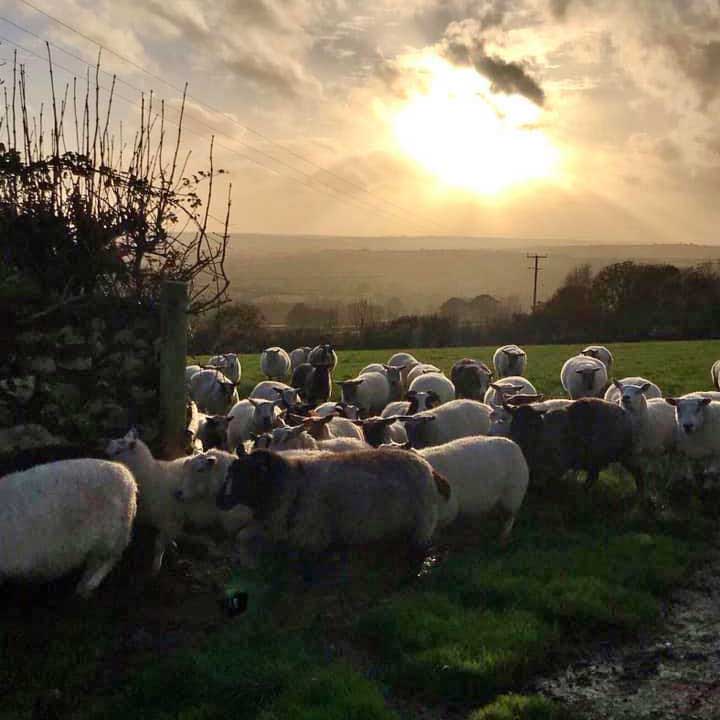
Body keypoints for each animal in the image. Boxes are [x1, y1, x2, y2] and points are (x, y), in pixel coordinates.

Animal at [214, 448, 442, 560]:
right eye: (231, 471)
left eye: (248, 475)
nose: (220, 500)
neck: (292, 482)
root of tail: (429, 469)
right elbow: (242, 536)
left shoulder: (312, 539)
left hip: (421, 526)